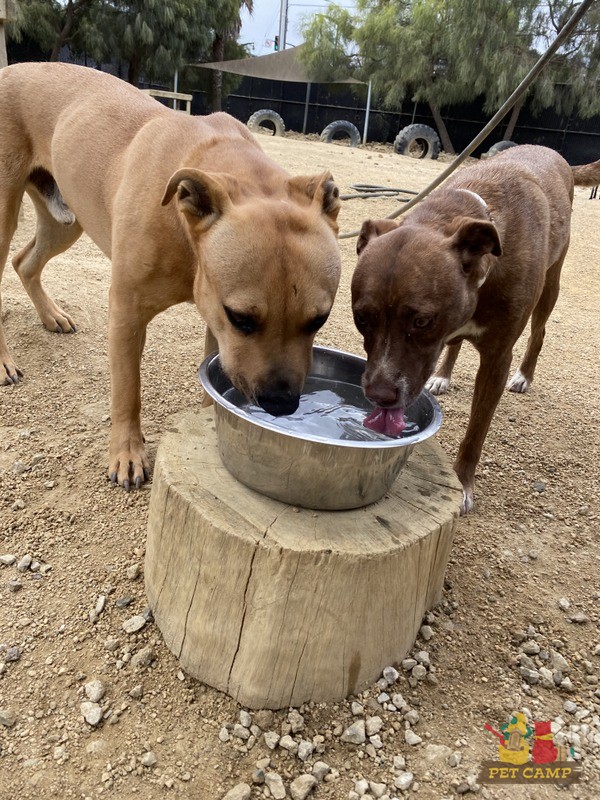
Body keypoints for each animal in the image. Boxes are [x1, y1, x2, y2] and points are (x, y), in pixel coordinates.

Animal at [0, 62, 342, 488]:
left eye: (319, 320)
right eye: (241, 318)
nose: (280, 404)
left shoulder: (214, 321)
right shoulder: (128, 310)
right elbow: (127, 389)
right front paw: (127, 454)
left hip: (65, 221)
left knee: (24, 262)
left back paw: (51, 315)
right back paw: (4, 362)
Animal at [352, 144, 600, 512]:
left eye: (422, 321)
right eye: (362, 318)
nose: (379, 396)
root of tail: (554, 153)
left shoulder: (497, 358)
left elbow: (477, 430)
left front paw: (463, 482)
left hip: (551, 284)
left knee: (539, 332)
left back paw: (525, 375)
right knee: (455, 343)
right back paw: (443, 375)